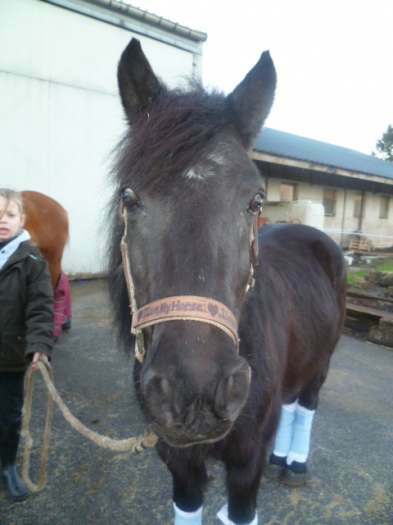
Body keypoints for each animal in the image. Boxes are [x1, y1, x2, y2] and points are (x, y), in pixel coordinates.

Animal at [108, 40, 346, 524]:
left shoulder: (245, 464)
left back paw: (294, 464)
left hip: (323, 362)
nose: (196, 391)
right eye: (129, 197)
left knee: (306, 403)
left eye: (255, 201)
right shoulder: (178, 462)